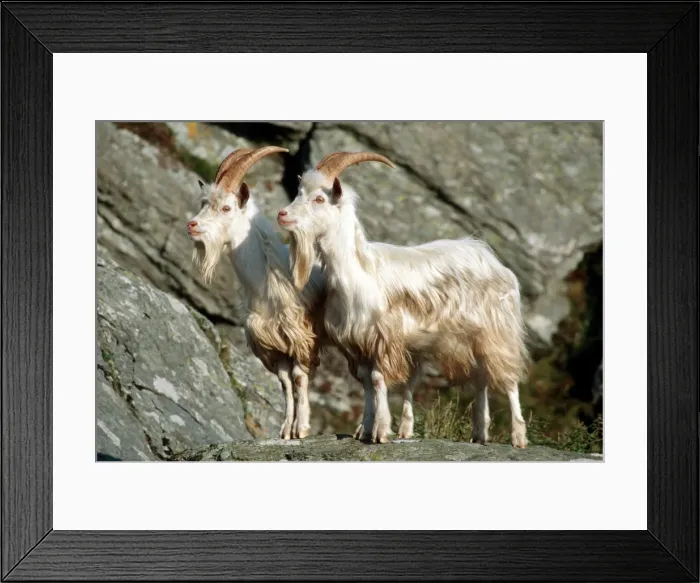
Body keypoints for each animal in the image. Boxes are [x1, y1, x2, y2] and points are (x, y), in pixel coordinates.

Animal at [186, 146, 325, 439]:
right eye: (203, 203)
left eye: (226, 207)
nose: (191, 225)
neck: (269, 276)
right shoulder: (272, 343)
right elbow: (285, 383)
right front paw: (285, 431)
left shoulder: (301, 336)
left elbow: (299, 378)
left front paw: (301, 429)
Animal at [277, 152, 529, 447]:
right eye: (299, 192)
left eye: (319, 199)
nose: (282, 215)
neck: (359, 272)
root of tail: (492, 260)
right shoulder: (358, 342)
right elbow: (366, 383)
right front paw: (365, 428)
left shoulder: (384, 338)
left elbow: (378, 380)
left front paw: (380, 431)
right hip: (469, 337)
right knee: (481, 378)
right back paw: (479, 433)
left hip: (498, 329)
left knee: (508, 378)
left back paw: (518, 437)